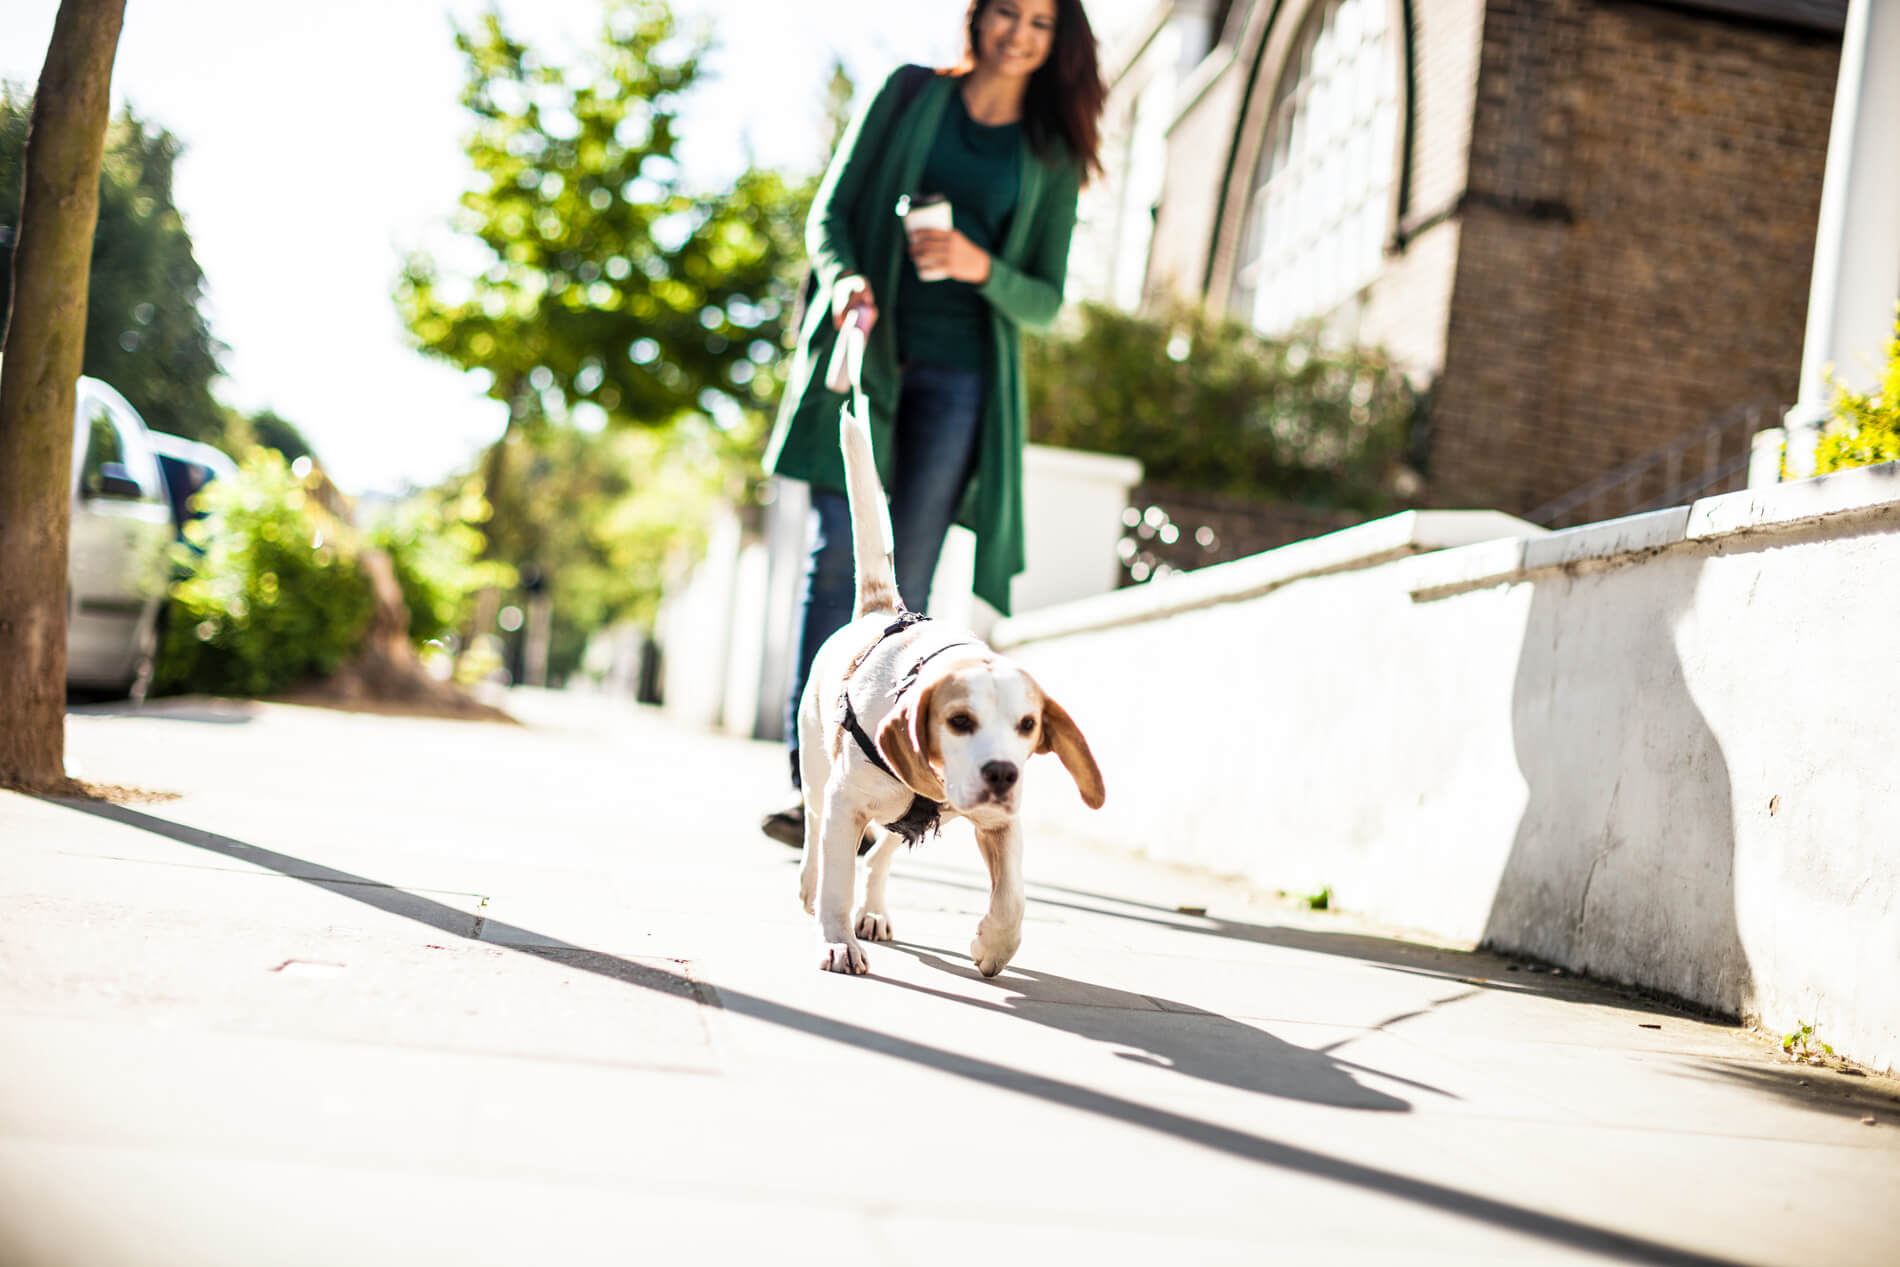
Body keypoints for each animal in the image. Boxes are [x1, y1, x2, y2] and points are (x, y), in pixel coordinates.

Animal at [794, 381, 1109, 980]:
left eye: (1028, 726)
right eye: (960, 721)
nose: (1003, 772)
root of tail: (882, 607)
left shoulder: (998, 823)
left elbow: (1013, 899)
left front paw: (994, 945)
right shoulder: (846, 806)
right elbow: (838, 879)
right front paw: (837, 940)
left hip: (910, 820)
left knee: (882, 853)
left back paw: (874, 910)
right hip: (818, 774)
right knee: (816, 834)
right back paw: (811, 885)